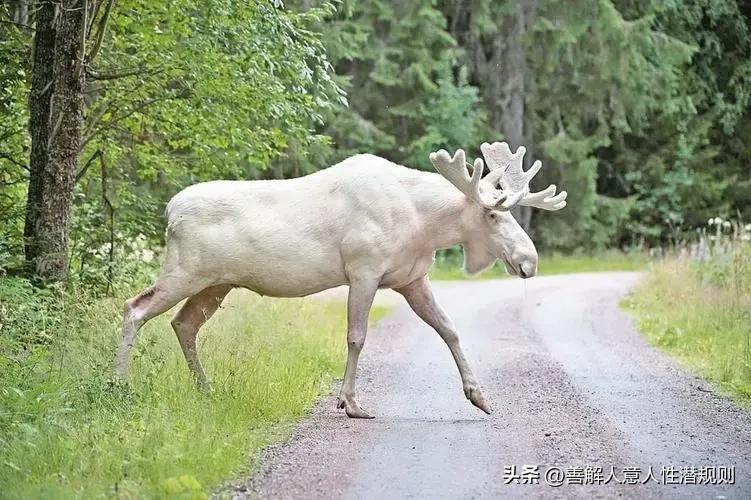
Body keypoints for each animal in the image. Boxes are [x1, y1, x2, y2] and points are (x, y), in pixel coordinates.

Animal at [114, 141, 568, 418]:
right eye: (492, 213)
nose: (529, 261)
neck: (424, 224)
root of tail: (169, 211)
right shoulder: (363, 270)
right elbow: (356, 336)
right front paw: (350, 403)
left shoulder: (411, 279)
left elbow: (450, 330)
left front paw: (479, 396)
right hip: (186, 271)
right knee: (135, 307)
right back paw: (118, 384)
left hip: (216, 283)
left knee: (183, 323)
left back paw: (205, 390)